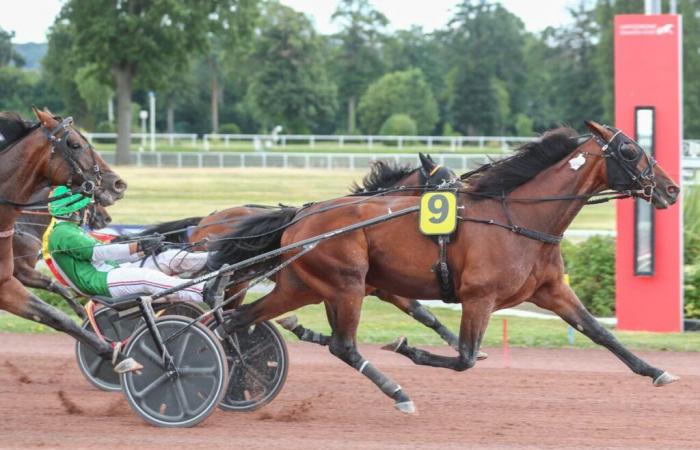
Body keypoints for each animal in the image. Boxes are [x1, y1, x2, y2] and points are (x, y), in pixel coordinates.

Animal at [208, 121, 680, 414]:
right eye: (630, 150)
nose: (672, 189)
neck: (518, 217)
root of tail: (300, 216)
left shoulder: (553, 291)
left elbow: (601, 333)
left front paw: (657, 371)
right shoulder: (478, 297)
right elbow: (465, 358)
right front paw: (409, 349)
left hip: (303, 286)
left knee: (234, 320)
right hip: (346, 284)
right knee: (342, 346)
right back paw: (398, 392)